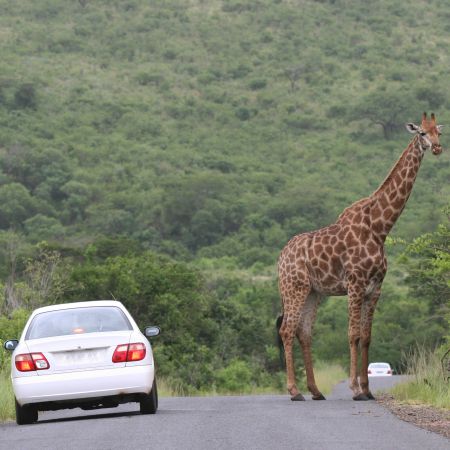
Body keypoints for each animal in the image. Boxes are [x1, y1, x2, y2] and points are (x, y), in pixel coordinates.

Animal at [278, 112, 442, 400]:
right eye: (422, 132)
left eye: (439, 132)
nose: (436, 148)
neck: (380, 228)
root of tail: (279, 259)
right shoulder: (355, 284)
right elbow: (353, 334)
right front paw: (355, 389)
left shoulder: (375, 288)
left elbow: (366, 336)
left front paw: (368, 390)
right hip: (293, 288)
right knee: (287, 330)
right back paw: (295, 391)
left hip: (313, 292)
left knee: (304, 332)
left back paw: (316, 391)